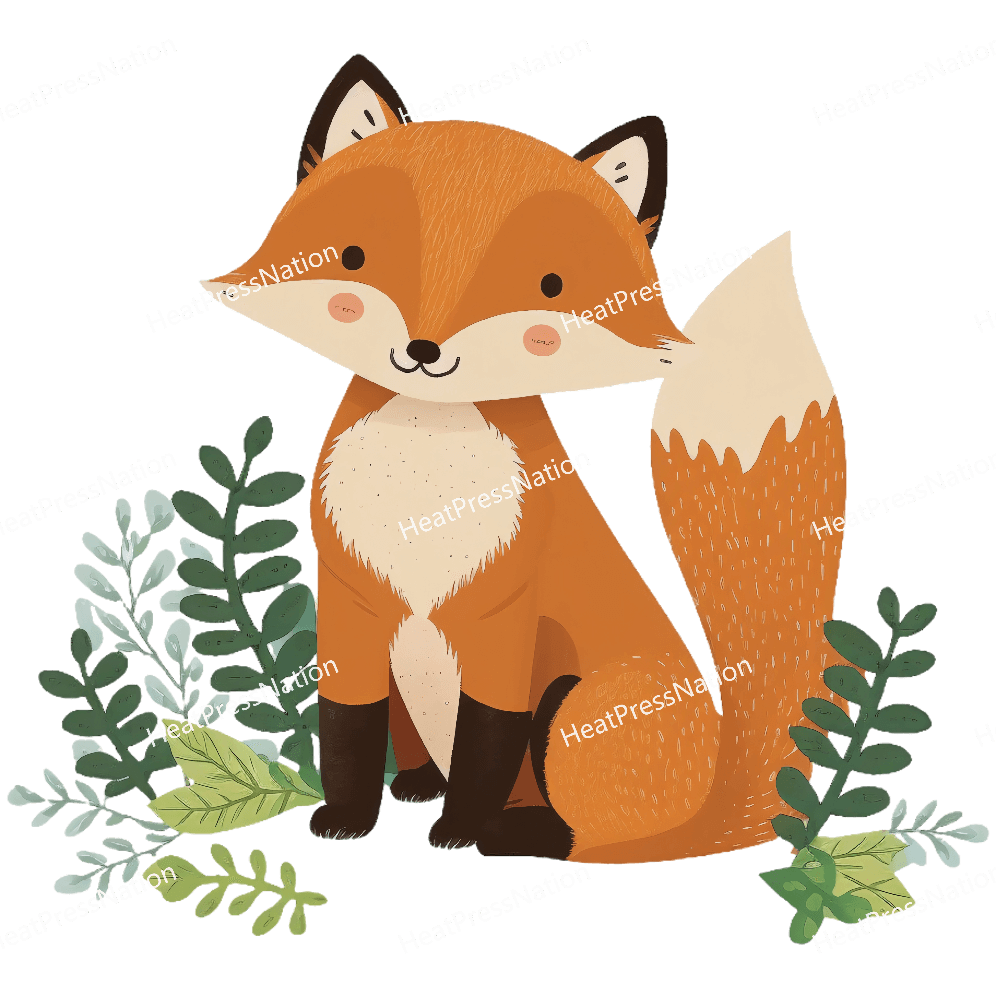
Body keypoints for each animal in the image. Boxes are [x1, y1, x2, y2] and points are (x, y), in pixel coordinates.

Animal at [200, 53, 848, 863]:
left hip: (579, 707)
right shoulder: (353, 604)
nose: (423, 351)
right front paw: (347, 819)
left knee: (591, 838)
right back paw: (423, 790)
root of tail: (714, 805)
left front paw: (458, 834)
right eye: (354, 257)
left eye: (550, 285)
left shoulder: (501, 616)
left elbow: (488, 736)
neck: (423, 490)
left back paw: (517, 835)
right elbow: (348, 727)